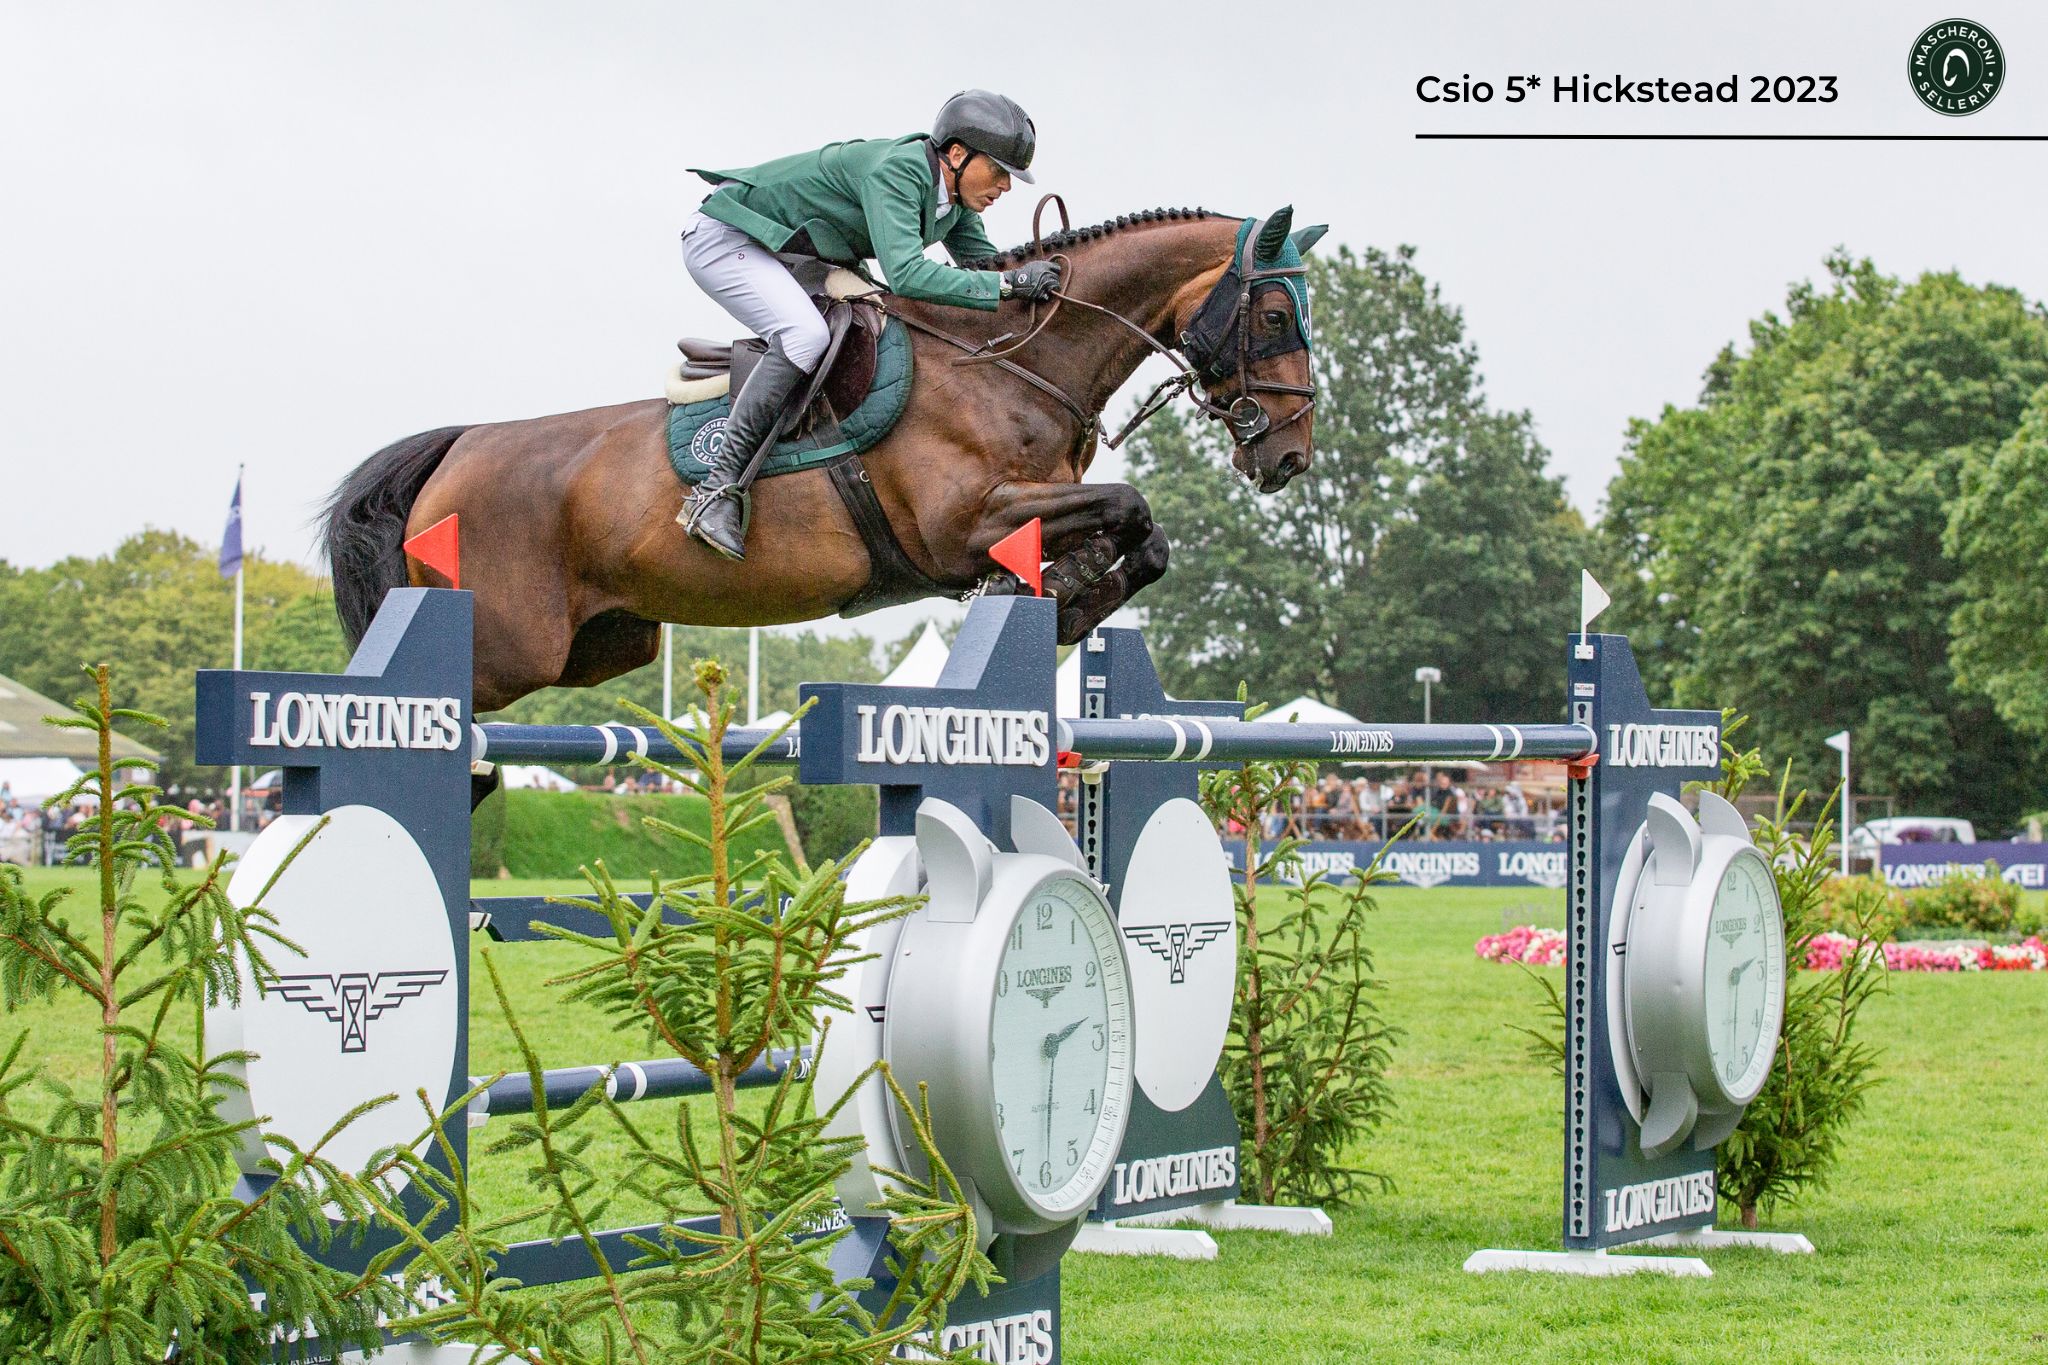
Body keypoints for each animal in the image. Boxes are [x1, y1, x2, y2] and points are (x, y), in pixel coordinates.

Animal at [319, 208, 1310, 716]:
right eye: (1273, 316)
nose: (1291, 456)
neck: (1009, 360)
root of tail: (460, 446)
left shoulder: (1027, 509)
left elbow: (1141, 534)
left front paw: (1068, 596)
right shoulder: (964, 523)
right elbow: (1131, 505)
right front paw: (1067, 593)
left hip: (599, 646)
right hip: (504, 650)